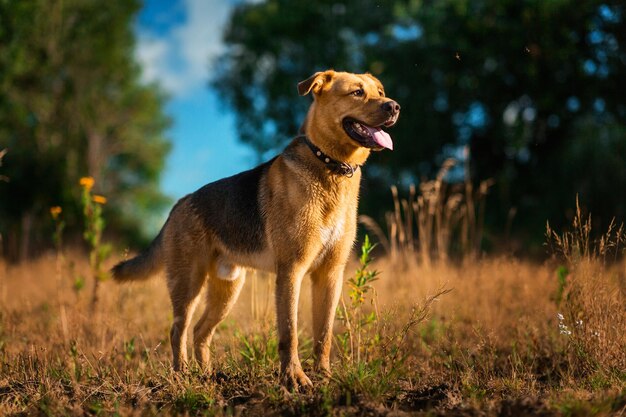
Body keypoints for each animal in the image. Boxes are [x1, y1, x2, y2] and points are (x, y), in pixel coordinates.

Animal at [109, 70, 398, 388]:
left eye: (380, 92)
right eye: (357, 93)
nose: (394, 106)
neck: (329, 166)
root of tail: (180, 204)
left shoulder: (329, 274)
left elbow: (323, 335)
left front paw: (324, 376)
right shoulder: (291, 271)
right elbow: (290, 333)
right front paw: (294, 378)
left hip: (227, 289)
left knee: (199, 332)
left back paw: (207, 376)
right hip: (188, 284)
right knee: (178, 331)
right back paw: (182, 376)